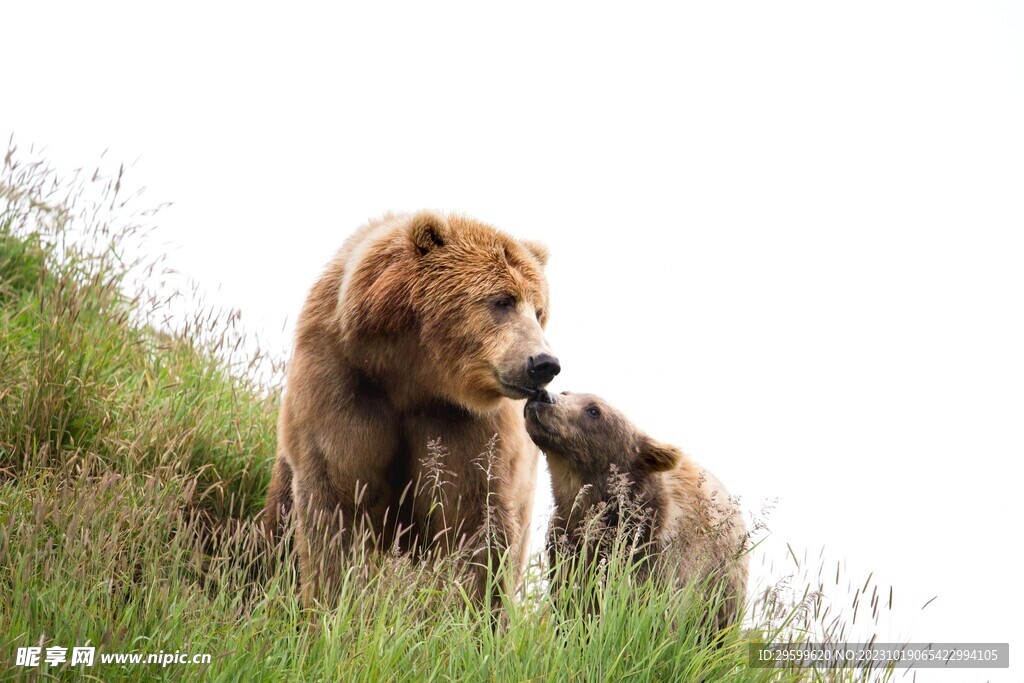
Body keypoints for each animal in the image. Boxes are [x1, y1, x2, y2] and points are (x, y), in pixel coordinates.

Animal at [260, 210, 557, 606]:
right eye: (502, 301)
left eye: (539, 311)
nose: (544, 363)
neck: (414, 374)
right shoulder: (341, 385)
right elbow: (334, 503)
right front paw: (330, 601)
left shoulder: (467, 425)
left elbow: (480, 523)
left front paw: (477, 611)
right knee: (278, 521)